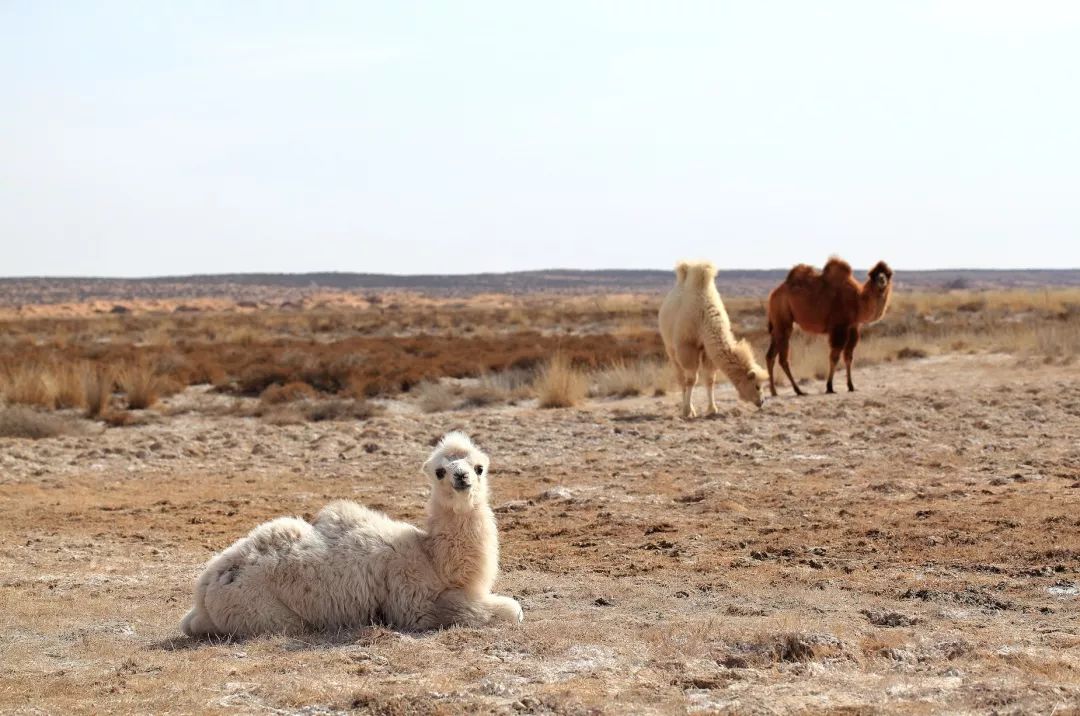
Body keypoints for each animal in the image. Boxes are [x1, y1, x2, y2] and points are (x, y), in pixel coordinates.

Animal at [768, 258, 894, 395]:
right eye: (874, 274)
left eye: (887, 273)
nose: (881, 279)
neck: (858, 301)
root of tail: (773, 294)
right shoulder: (839, 327)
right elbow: (834, 357)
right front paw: (829, 387)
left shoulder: (853, 327)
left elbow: (849, 357)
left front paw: (851, 386)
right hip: (783, 317)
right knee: (783, 358)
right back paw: (799, 390)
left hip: (777, 323)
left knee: (770, 355)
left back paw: (774, 391)